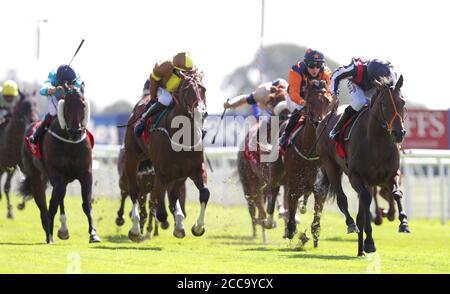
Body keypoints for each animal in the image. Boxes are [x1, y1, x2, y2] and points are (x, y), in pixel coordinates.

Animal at [20, 86, 99, 243]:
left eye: (83, 104)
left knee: (51, 205)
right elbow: (61, 197)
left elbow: (86, 203)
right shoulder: (57, 174)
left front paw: (93, 234)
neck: (71, 143)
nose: (76, 131)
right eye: (66, 105)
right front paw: (63, 230)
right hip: (36, 177)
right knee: (43, 205)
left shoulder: (86, 173)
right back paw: (48, 234)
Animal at [123, 70, 207, 241]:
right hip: (131, 158)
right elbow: (160, 210)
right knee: (135, 192)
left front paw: (197, 227)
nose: (201, 113)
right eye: (187, 90)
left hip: (178, 174)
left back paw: (179, 225)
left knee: (173, 196)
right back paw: (135, 229)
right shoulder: (161, 173)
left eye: (203, 89)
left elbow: (204, 194)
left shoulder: (195, 170)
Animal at [284, 79, 332, 247]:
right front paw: (292, 231)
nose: (319, 122)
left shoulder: (320, 187)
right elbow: (291, 209)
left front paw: (314, 235)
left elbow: (317, 216)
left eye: (327, 101)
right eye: (310, 101)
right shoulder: (293, 184)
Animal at [316, 76, 412, 258]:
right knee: (343, 199)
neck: (377, 143)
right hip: (330, 165)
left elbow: (396, 193)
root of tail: (324, 120)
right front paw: (369, 241)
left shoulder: (392, 174)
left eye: (402, 101)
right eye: (383, 103)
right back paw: (352, 225)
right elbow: (365, 202)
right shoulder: (356, 176)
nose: (398, 133)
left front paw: (403, 222)